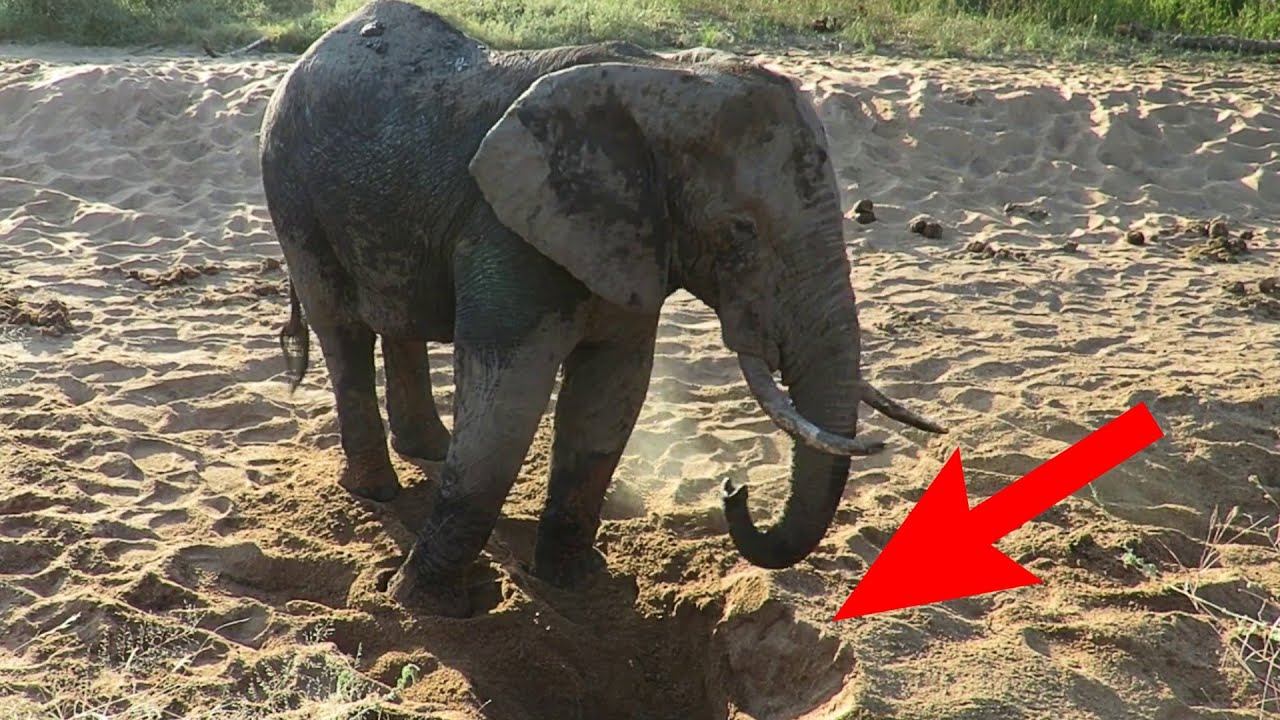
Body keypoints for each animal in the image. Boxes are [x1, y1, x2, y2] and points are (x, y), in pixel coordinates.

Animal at [259, 0, 948, 617]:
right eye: (741, 232)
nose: (735, 488)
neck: (658, 78)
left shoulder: (632, 237)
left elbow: (611, 391)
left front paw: (580, 588)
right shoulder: (508, 231)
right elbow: (508, 400)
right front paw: (428, 606)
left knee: (396, 319)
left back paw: (428, 449)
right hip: (290, 190)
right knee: (343, 330)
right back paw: (377, 491)